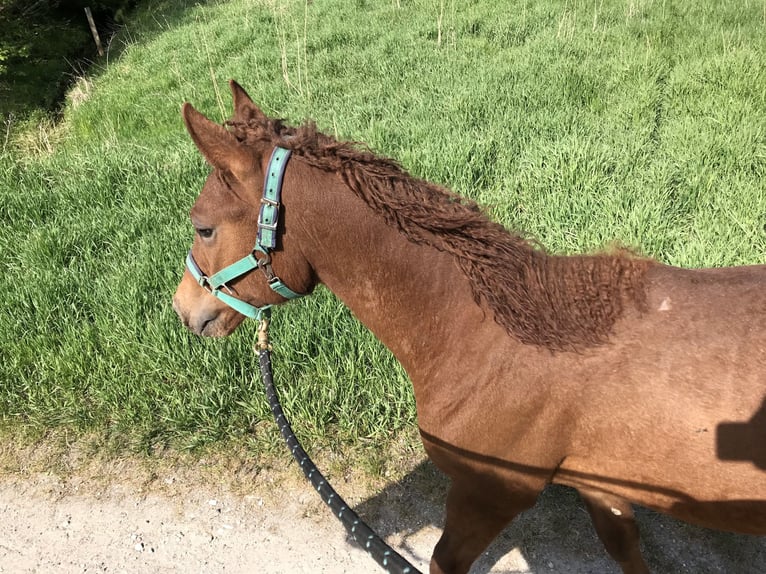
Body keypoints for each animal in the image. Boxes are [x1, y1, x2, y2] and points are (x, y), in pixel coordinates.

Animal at [174, 81, 766, 574]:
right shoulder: (603, 488)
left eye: (203, 228)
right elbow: (625, 550)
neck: (487, 338)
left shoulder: (487, 495)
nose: (184, 310)